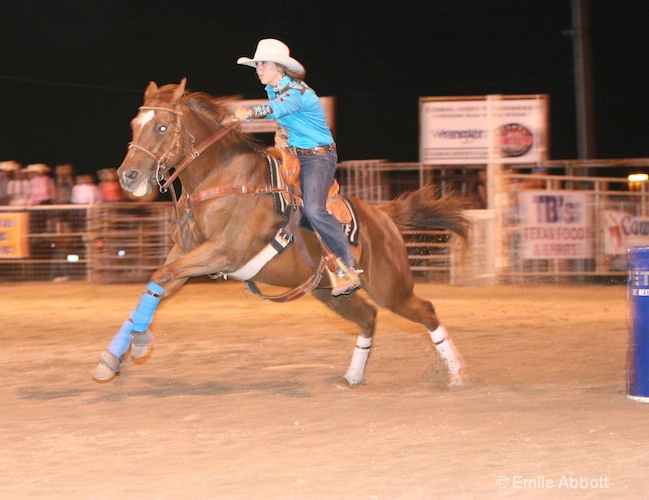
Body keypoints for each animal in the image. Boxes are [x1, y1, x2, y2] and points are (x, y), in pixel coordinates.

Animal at [92, 80, 466, 388]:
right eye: (135, 125)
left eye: (162, 126)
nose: (127, 176)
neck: (222, 179)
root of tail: (384, 216)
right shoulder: (185, 254)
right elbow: (156, 282)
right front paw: (112, 358)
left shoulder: (223, 252)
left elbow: (160, 275)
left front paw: (139, 344)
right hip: (330, 293)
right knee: (368, 318)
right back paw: (352, 377)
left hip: (391, 288)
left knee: (426, 311)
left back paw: (457, 374)